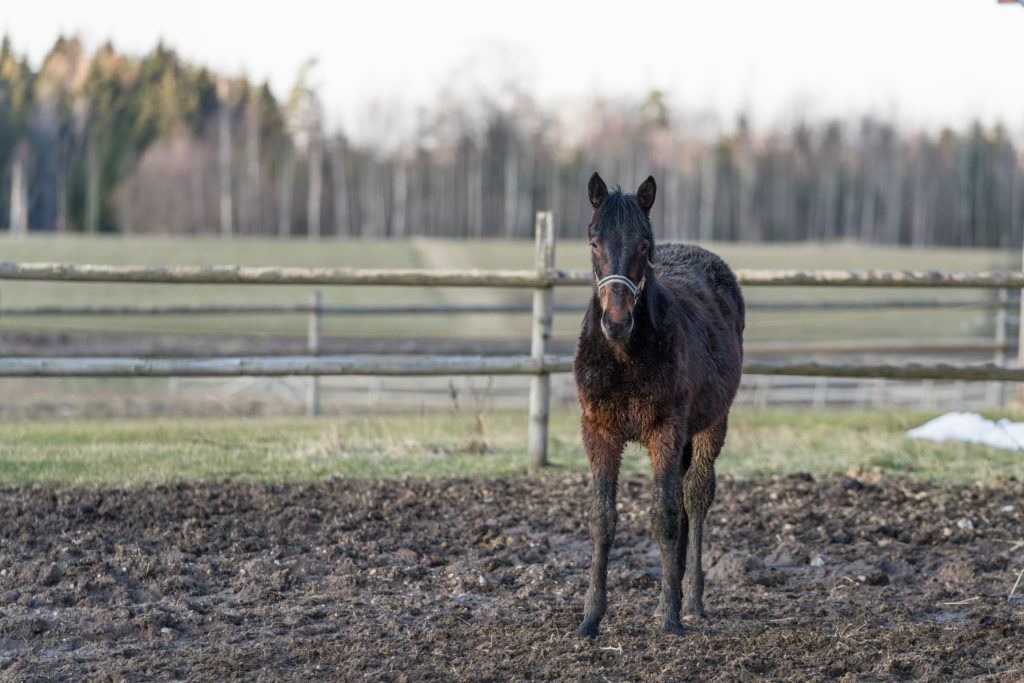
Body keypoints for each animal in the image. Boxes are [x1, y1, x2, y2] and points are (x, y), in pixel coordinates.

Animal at [573, 172, 745, 637]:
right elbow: (602, 519)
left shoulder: (666, 430)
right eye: (593, 241)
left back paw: (693, 601)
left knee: (696, 497)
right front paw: (591, 618)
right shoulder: (599, 431)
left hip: (711, 423)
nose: (616, 322)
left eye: (644, 244)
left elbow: (665, 517)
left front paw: (670, 617)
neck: (624, 356)